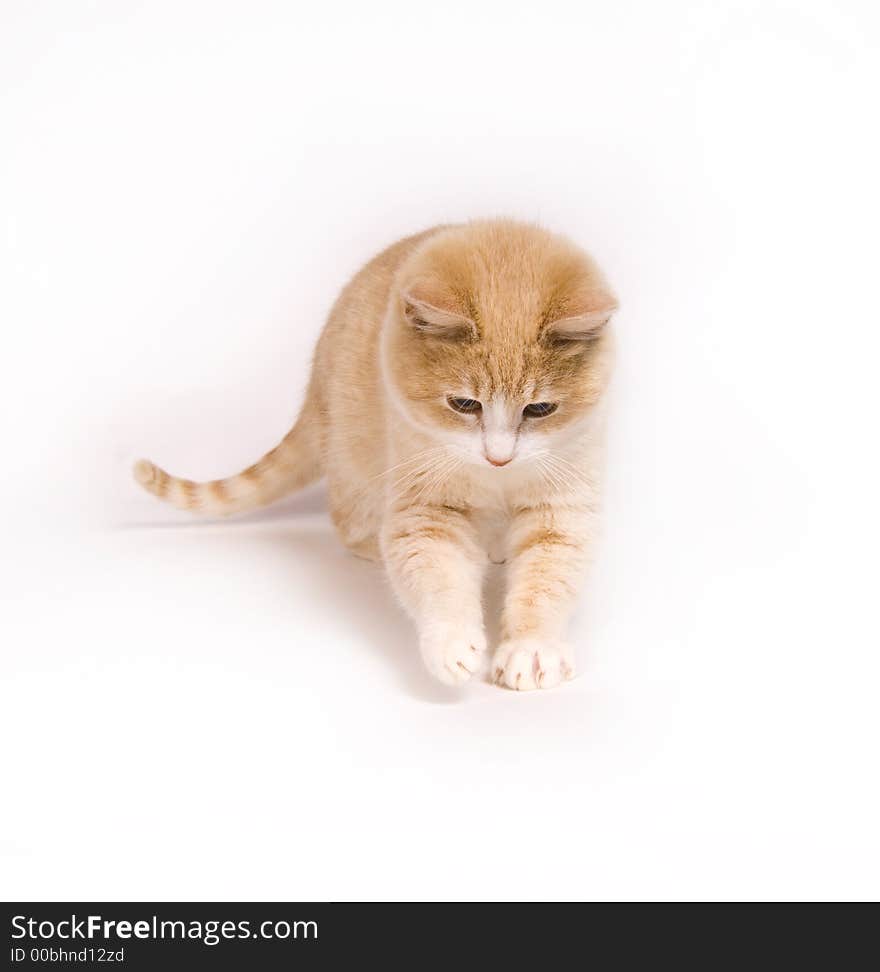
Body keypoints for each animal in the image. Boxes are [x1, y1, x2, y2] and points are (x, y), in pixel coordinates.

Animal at [138, 220, 620, 692]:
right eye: (464, 404)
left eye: (540, 409)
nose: (498, 457)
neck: (496, 479)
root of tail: (317, 385)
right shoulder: (425, 507)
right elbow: (437, 573)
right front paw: (451, 642)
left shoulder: (560, 507)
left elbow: (547, 580)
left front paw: (531, 648)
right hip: (355, 461)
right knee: (347, 520)